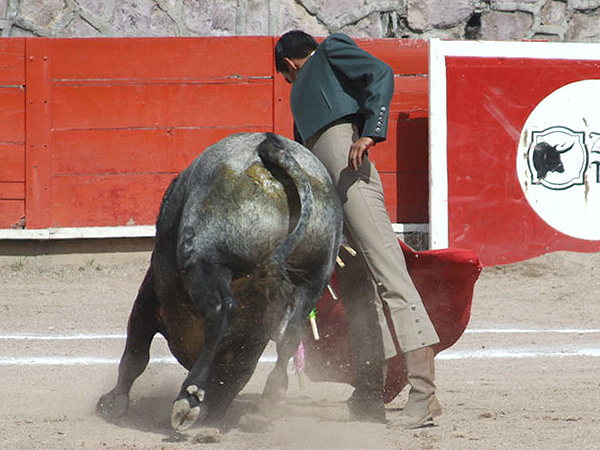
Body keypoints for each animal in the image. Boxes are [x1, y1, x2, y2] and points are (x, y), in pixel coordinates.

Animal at [97, 133, 342, 428]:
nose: (215, 408)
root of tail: (268, 145)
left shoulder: (148, 299)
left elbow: (134, 355)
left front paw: (115, 402)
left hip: (206, 261)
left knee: (221, 310)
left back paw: (190, 395)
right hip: (316, 275)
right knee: (292, 331)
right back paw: (269, 398)